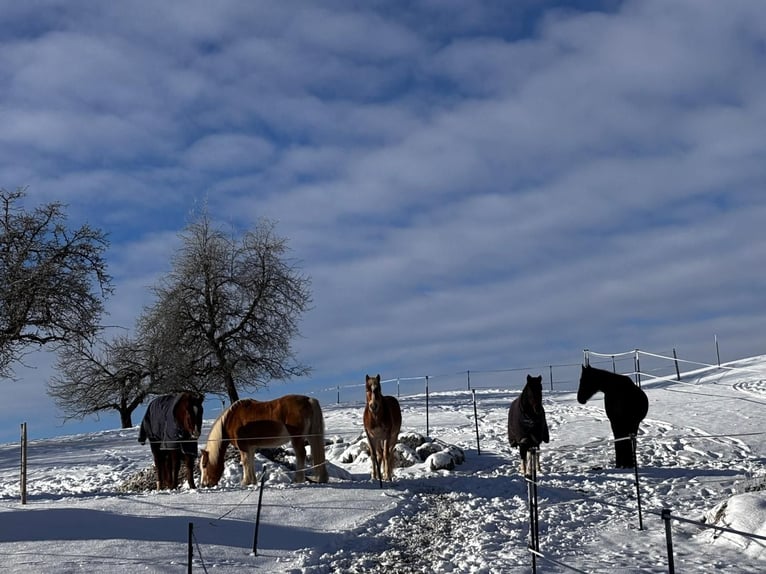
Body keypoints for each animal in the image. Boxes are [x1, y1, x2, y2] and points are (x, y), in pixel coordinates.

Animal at [199, 394, 328, 487]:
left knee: (301, 454)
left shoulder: (243, 447)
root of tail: (308, 400)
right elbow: (250, 462)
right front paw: (252, 481)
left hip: (297, 438)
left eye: (204, 465)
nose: (204, 484)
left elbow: (245, 462)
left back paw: (297, 480)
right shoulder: (250, 448)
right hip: (311, 436)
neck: (230, 420)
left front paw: (245, 482)